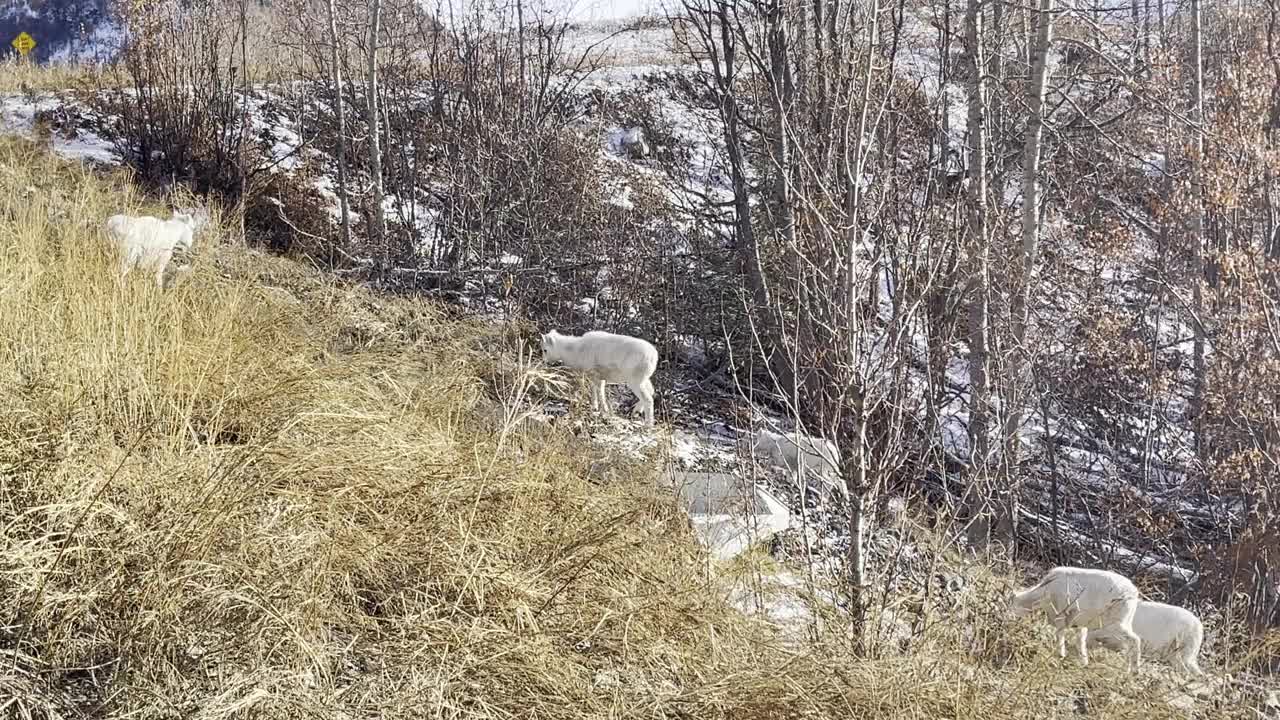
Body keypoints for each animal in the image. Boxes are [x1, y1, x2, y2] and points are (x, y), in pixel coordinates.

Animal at [1008, 563, 1141, 671]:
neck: (1045, 593)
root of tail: (1133, 594)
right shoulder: (1079, 623)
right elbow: (1080, 640)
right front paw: (1083, 661)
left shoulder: (1061, 614)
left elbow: (1060, 634)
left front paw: (1061, 654)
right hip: (1123, 622)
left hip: (1114, 623)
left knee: (1134, 640)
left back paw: (1133, 671)